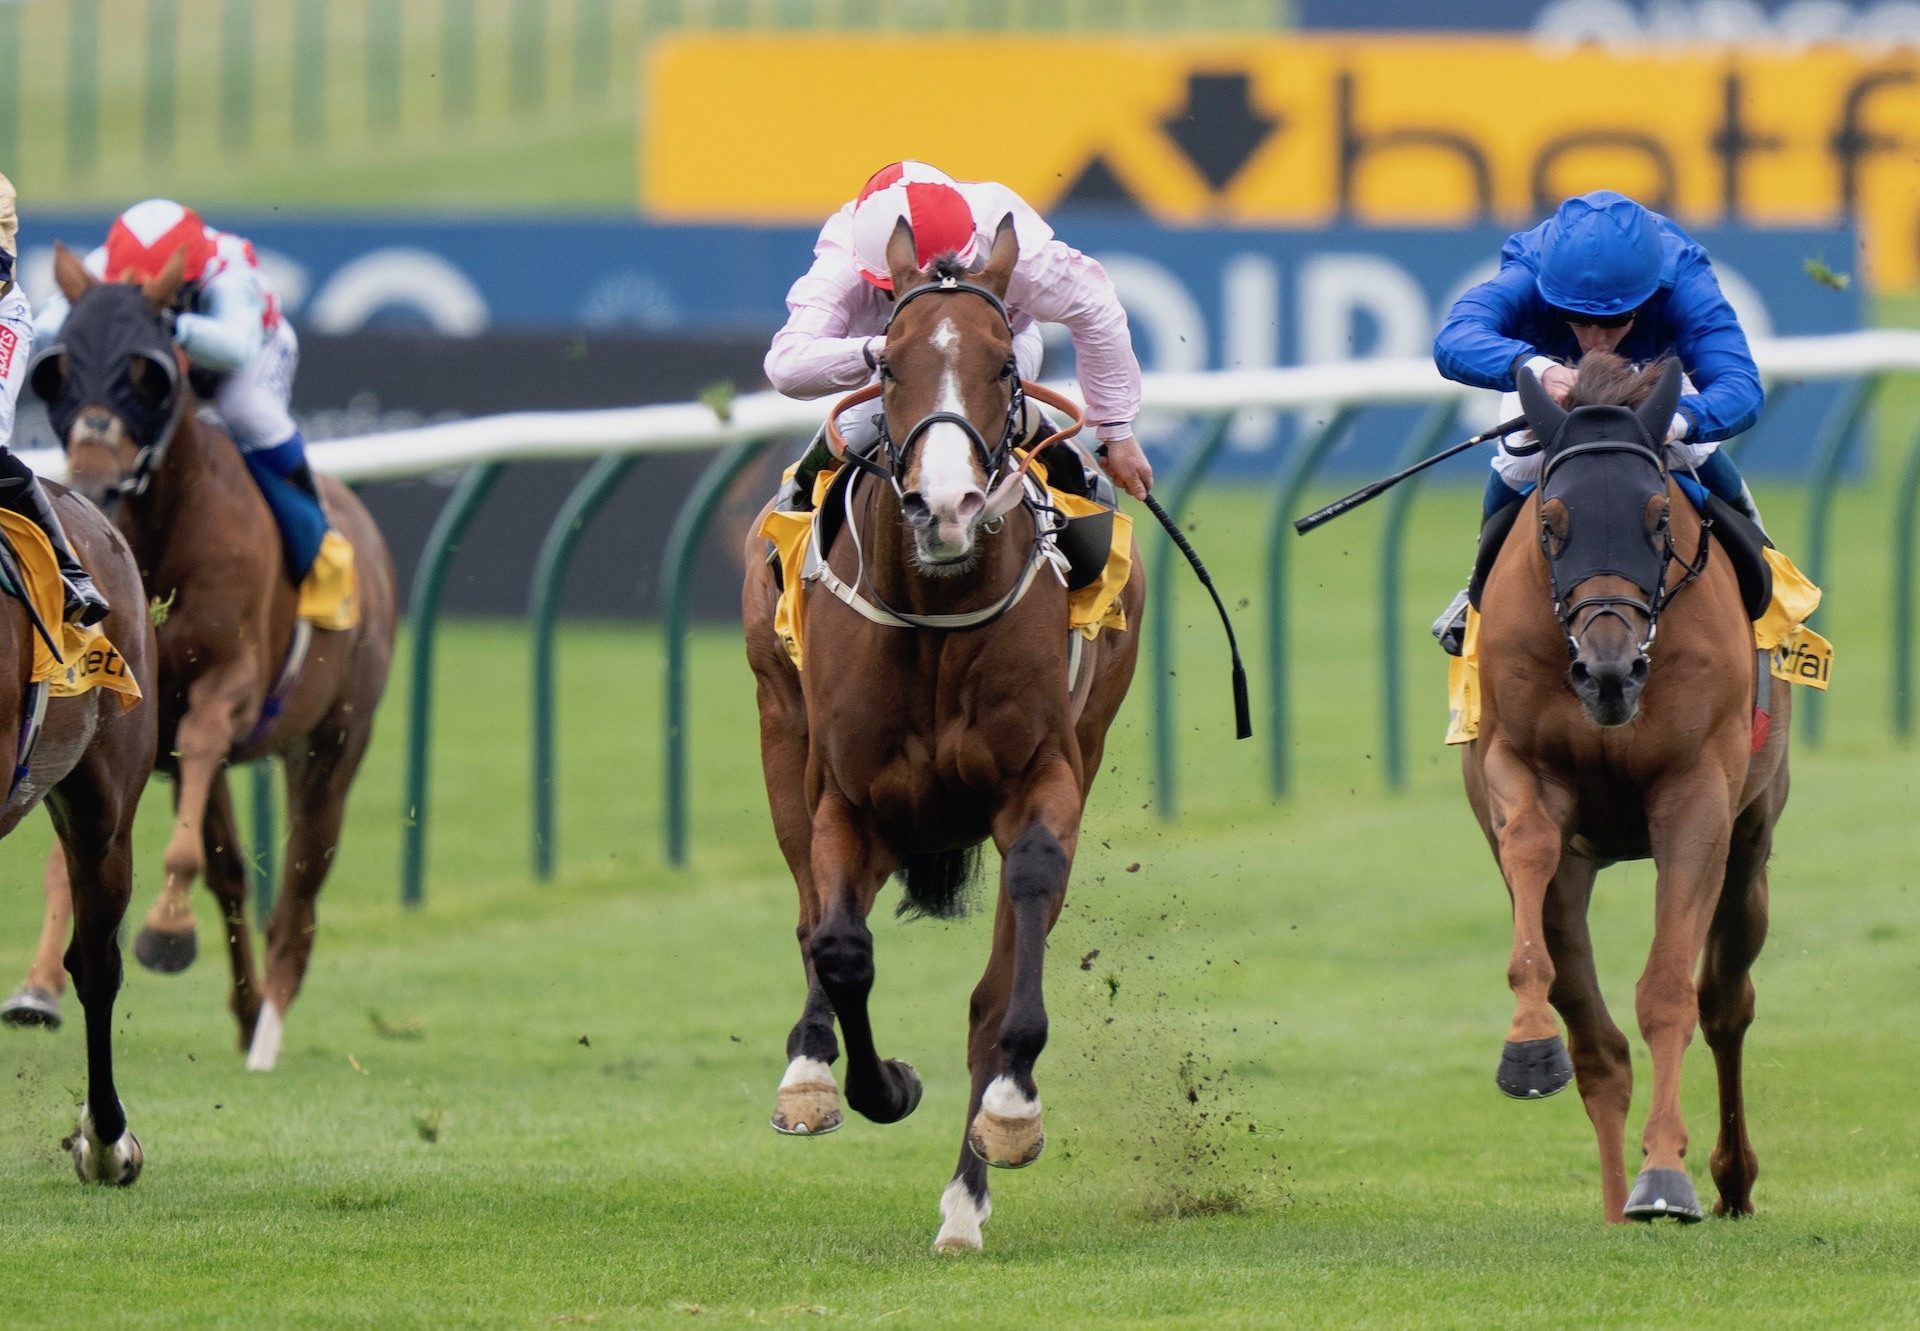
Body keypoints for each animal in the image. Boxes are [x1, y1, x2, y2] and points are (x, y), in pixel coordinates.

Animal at [9, 241, 401, 1067]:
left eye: (146, 370)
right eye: (60, 368)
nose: (95, 476)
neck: (161, 537)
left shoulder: (226, 691)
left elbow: (190, 850)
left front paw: (163, 930)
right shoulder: (116, 719)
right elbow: (85, 861)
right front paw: (38, 986)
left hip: (334, 743)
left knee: (300, 887)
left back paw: (269, 1027)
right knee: (230, 870)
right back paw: (249, 1011)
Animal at [741, 217, 1144, 1244]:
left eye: (1004, 364)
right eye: (889, 367)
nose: (948, 505)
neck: (933, 612)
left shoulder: (1045, 773)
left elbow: (1006, 974)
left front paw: (1008, 1117)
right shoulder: (847, 797)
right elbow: (840, 947)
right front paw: (872, 1082)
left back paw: (967, 1198)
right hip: (781, 735)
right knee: (811, 918)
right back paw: (809, 1070)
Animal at [1459, 355, 1789, 1221]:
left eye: (1658, 518)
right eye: (1551, 523)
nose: (1608, 672)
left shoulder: (1698, 792)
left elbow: (1670, 991)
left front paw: (1666, 1175)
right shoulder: (1517, 762)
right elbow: (1529, 844)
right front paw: (1526, 1046)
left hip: (1752, 841)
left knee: (1726, 1002)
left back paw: (1728, 1179)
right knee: (1597, 1043)